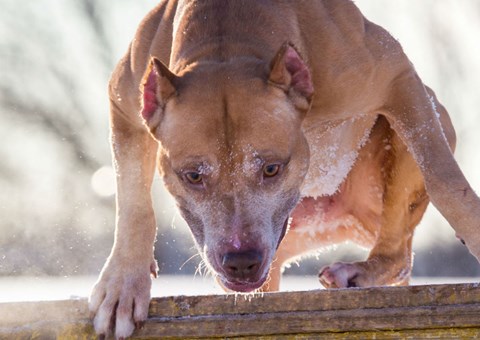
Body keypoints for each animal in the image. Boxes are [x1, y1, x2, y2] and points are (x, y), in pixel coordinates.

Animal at [88, 0, 480, 338]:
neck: (227, 41)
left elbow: (445, 180)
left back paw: (358, 271)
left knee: (399, 252)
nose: (241, 260)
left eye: (272, 169)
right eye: (193, 176)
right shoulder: (124, 108)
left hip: (422, 125)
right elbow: (133, 204)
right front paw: (122, 285)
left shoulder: (397, 79)